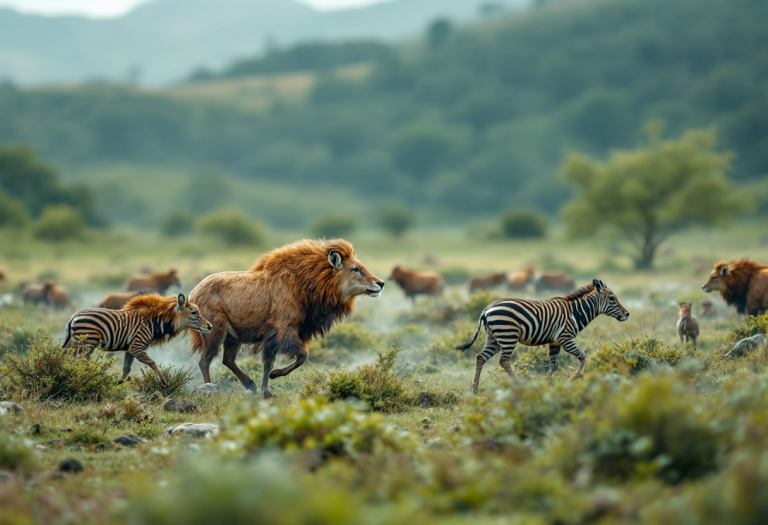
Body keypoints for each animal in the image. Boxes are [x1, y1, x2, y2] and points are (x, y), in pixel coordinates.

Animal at [63, 292, 212, 386]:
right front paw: (163, 381)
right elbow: (152, 362)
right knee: (80, 362)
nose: (210, 326)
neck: (154, 323)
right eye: (194, 313)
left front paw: (119, 384)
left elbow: (126, 368)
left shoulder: (129, 349)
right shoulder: (137, 347)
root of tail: (73, 316)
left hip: (73, 344)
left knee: (69, 360)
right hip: (88, 343)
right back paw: (83, 376)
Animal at [452, 278, 628, 392]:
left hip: (493, 338)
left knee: (480, 357)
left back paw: (474, 388)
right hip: (508, 335)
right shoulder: (566, 338)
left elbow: (554, 365)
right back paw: (519, 384)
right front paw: (575, 378)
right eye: (612, 298)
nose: (627, 314)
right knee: (504, 361)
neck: (575, 312)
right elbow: (582, 356)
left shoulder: (555, 342)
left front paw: (546, 384)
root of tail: (487, 309)